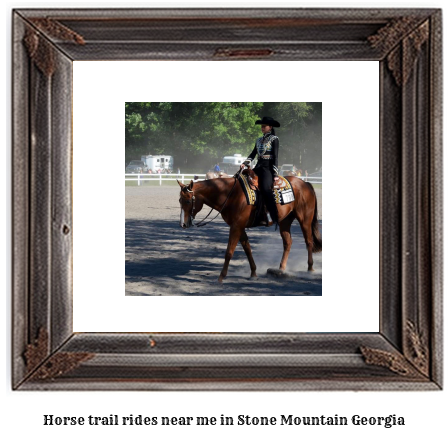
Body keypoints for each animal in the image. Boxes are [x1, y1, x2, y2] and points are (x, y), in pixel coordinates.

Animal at [177, 173, 320, 282]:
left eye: (188, 201)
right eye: (179, 200)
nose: (183, 224)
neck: (231, 194)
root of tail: (305, 184)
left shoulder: (236, 227)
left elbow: (229, 252)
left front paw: (221, 277)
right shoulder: (239, 227)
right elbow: (247, 249)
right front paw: (253, 273)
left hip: (305, 219)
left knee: (309, 242)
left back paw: (310, 269)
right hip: (285, 221)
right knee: (288, 242)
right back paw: (281, 268)